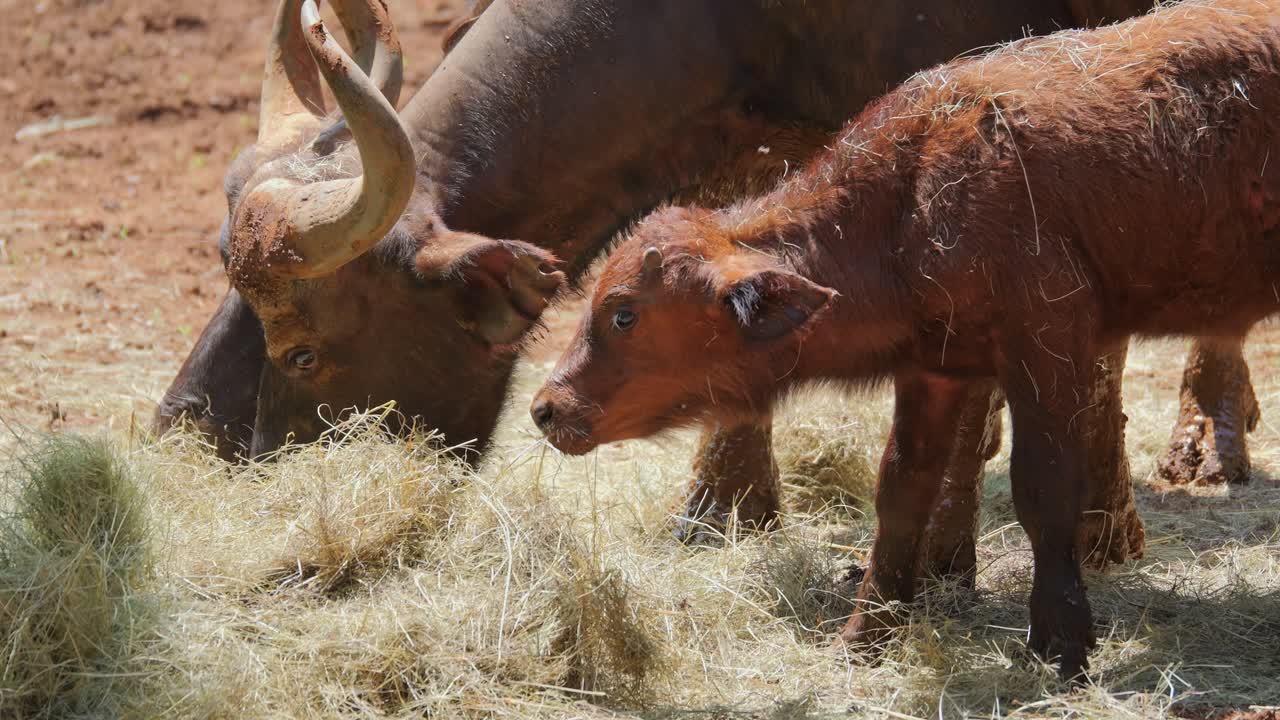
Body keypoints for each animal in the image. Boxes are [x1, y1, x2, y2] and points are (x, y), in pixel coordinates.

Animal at [530, 0, 1280, 677]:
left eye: (624, 313)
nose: (546, 408)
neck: (912, 196)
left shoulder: (1047, 351)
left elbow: (1041, 492)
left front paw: (1060, 647)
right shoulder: (934, 370)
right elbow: (900, 491)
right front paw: (864, 636)